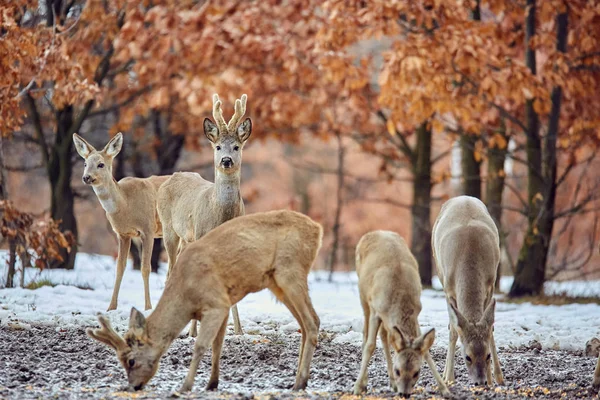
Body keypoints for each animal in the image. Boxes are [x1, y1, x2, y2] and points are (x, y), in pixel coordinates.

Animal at [74, 133, 171, 310]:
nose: (86, 177)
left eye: (101, 164)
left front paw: (148, 307)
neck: (126, 204)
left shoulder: (148, 229)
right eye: (85, 163)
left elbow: (145, 268)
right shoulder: (123, 234)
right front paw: (111, 307)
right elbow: (120, 267)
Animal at [86, 211, 322, 392]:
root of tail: (318, 230)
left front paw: (185, 386)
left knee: (312, 322)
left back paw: (299, 383)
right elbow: (217, 346)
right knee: (306, 324)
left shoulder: (216, 303)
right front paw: (211, 384)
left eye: (131, 360)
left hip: (290, 271)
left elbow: (200, 345)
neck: (187, 297)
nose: (134, 386)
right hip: (277, 284)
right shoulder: (224, 305)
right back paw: (298, 381)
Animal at [157, 92, 251, 336]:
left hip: (186, 239)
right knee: (169, 270)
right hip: (169, 230)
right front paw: (194, 331)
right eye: (217, 147)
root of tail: (172, 177)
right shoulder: (201, 235)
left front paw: (238, 329)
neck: (221, 214)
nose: (226, 160)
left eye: (236, 147)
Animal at [352, 231, 450, 396]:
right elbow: (370, 346)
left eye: (416, 372)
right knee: (366, 335)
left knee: (385, 336)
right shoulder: (375, 310)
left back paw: (392, 383)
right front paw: (357, 387)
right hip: (363, 296)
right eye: (398, 371)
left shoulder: (416, 312)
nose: (404, 393)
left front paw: (444, 388)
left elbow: (426, 352)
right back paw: (365, 382)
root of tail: (375, 232)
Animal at [432, 195, 506, 386]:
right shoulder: (448, 288)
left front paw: (495, 377)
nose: (480, 382)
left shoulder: (491, 283)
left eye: (487, 355)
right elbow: (453, 331)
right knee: (451, 326)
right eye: (467, 357)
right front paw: (449, 378)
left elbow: (490, 328)